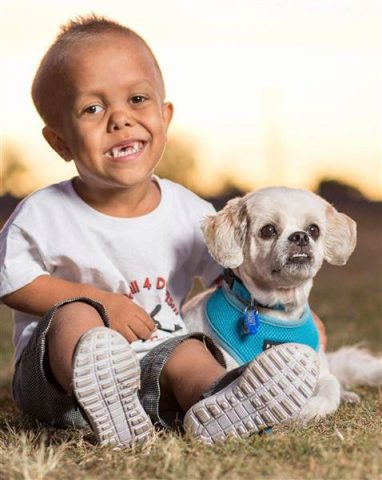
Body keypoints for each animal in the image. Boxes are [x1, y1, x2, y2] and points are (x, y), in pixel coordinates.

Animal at [183, 186, 382, 422]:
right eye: (268, 230)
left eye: (313, 229)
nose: (300, 236)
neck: (280, 311)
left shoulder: (320, 370)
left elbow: (330, 386)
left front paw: (312, 408)